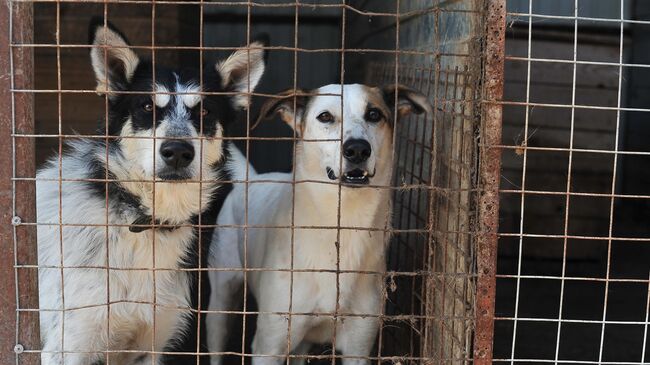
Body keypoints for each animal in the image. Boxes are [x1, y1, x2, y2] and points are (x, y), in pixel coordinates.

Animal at [208, 84, 430, 362]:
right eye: (325, 117)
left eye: (374, 114)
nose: (357, 149)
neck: (342, 226)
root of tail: (253, 178)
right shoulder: (268, 346)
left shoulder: (358, 347)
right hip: (220, 304)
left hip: (302, 344)